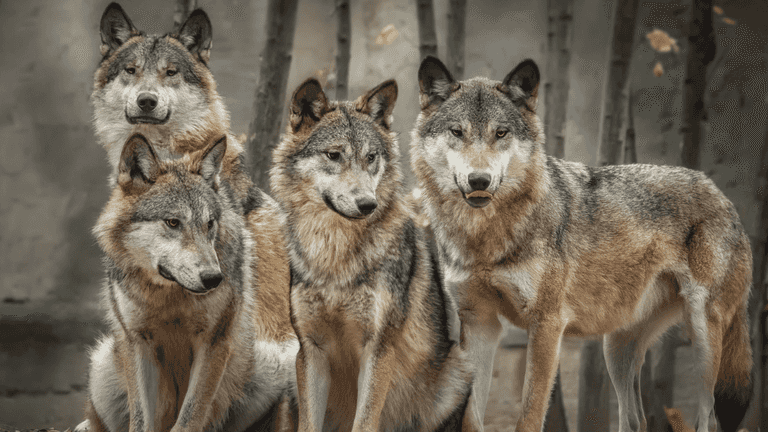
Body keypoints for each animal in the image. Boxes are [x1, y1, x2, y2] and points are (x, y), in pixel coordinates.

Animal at [80, 134, 298, 432]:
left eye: (209, 223)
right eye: (173, 222)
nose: (213, 278)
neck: (170, 296)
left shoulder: (214, 342)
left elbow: (190, 417)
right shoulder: (136, 342)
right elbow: (140, 420)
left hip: (275, 360)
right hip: (102, 363)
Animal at [270, 78, 480, 432]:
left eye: (370, 157)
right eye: (334, 155)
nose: (367, 204)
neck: (335, 257)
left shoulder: (378, 350)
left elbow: (365, 422)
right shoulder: (311, 351)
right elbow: (310, 425)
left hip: (458, 374)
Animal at [411, 56, 753, 432]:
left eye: (500, 133)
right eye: (457, 132)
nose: (479, 180)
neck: (484, 238)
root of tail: (721, 194)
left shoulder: (547, 323)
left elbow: (529, 414)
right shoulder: (479, 323)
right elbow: (470, 417)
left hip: (703, 338)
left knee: (709, 418)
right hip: (615, 349)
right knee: (635, 421)